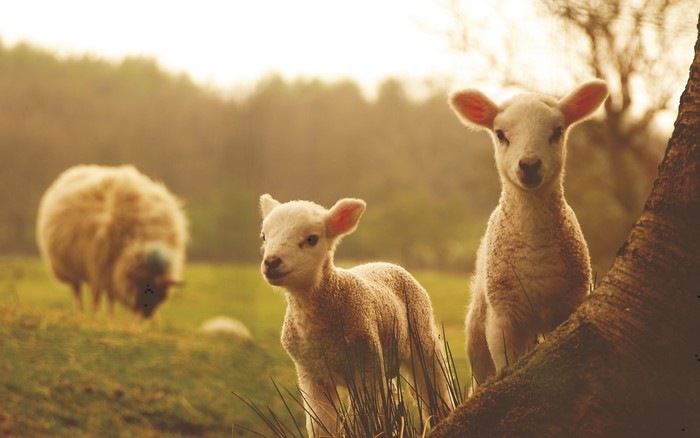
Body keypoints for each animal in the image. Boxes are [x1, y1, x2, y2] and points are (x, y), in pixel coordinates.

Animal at [36, 164, 188, 318]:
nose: (145, 317)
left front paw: (110, 315)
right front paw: (104, 315)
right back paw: (82, 311)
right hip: (70, 267)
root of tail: (75, 170)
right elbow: (103, 295)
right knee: (77, 290)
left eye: (160, 296)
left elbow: (110, 295)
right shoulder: (102, 266)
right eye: (144, 287)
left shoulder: (110, 270)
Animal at [259, 194, 451, 437]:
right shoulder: (312, 376)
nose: (271, 263)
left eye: (311, 239)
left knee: (434, 388)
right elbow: (320, 425)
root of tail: (386, 263)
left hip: (422, 338)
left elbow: (365, 420)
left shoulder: (366, 367)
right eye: (264, 236)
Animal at [448, 80, 609, 389]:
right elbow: (506, 365)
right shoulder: (503, 320)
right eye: (500, 134)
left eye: (557, 131)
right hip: (478, 324)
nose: (530, 165)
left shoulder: (568, 307)